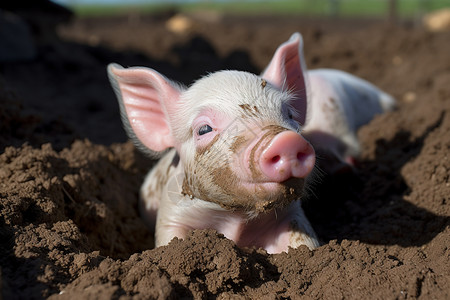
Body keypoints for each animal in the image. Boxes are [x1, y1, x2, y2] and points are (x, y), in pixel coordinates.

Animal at [106, 32, 394, 253]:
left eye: (290, 115)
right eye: (204, 129)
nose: (285, 140)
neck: (237, 221)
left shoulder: (292, 216)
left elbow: (304, 244)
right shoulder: (171, 216)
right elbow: (171, 243)